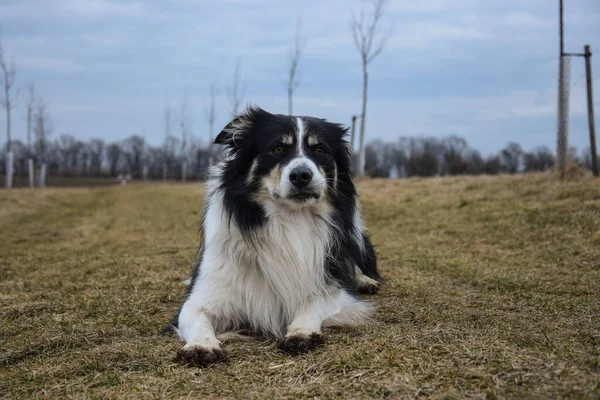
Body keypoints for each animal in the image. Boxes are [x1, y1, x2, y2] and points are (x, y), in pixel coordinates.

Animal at [164, 105, 380, 366]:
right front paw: (201, 345)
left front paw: (301, 330)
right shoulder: (201, 296)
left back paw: (366, 281)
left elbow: (314, 301)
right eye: (277, 148)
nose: (301, 175)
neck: (289, 220)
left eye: (320, 150)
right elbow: (197, 316)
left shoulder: (334, 286)